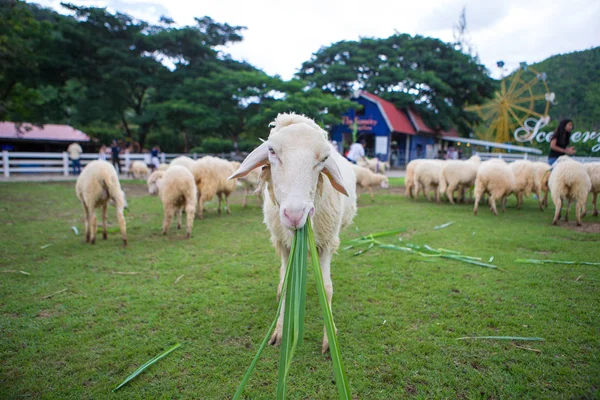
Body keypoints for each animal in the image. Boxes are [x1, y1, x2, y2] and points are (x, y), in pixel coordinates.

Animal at [227, 112, 354, 354]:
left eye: (324, 158)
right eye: (272, 151)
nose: (295, 214)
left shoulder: (326, 243)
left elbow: (327, 288)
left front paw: (329, 338)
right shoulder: (285, 245)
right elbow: (286, 285)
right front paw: (279, 331)